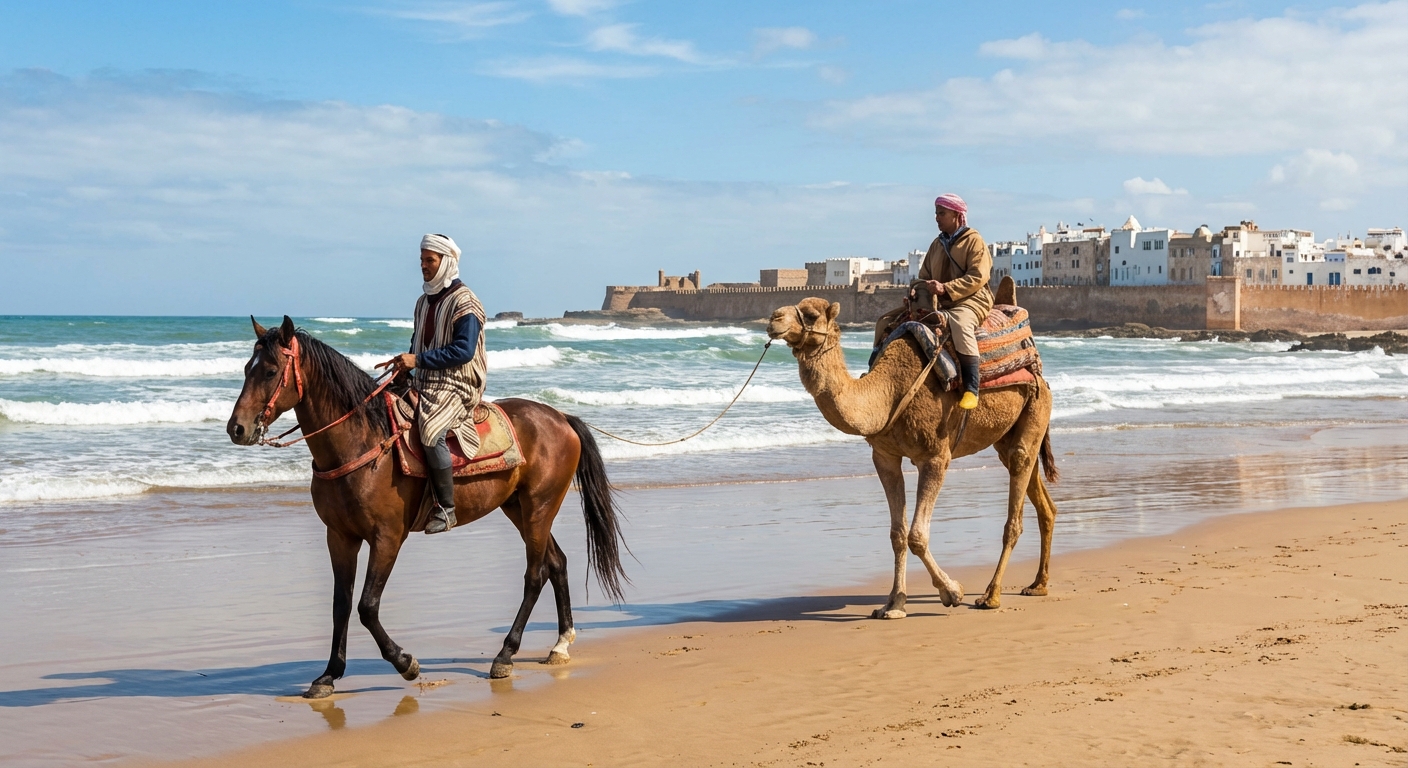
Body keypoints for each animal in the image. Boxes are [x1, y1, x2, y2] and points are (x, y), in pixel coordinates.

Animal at [766, 295, 1059, 615]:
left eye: (810, 314)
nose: (774, 319)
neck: (888, 392)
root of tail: (1037, 368)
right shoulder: (884, 457)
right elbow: (897, 534)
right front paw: (893, 604)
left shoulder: (935, 457)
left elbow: (917, 535)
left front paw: (952, 591)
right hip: (1008, 433)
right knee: (1041, 497)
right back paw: (1038, 585)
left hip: (1036, 406)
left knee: (1015, 504)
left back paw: (991, 595)